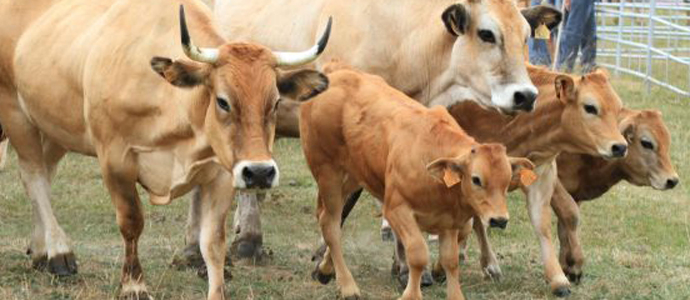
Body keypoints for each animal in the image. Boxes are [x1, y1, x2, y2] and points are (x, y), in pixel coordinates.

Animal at [2, 0, 330, 298]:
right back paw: (59, 252)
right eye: (223, 101)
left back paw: (41, 250)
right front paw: (133, 285)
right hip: (17, 115)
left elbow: (213, 242)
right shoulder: (115, 160)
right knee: (34, 178)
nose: (260, 173)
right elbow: (131, 222)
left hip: (53, 127)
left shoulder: (223, 173)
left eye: (275, 102)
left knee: (45, 175)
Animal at [300, 63, 532, 300]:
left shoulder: (449, 221)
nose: (499, 220)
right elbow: (418, 255)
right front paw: (411, 293)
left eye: (506, 181)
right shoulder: (397, 210)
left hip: (354, 177)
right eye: (476, 179)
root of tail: (334, 74)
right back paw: (347, 286)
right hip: (328, 172)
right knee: (330, 224)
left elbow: (450, 260)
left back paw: (325, 269)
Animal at [548, 108, 676, 284]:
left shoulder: (574, 193)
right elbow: (571, 215)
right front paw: (576, 262)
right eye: (647, 143)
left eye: (667, 141)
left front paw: (568, 267)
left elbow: (564, 226)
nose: (673, 180)